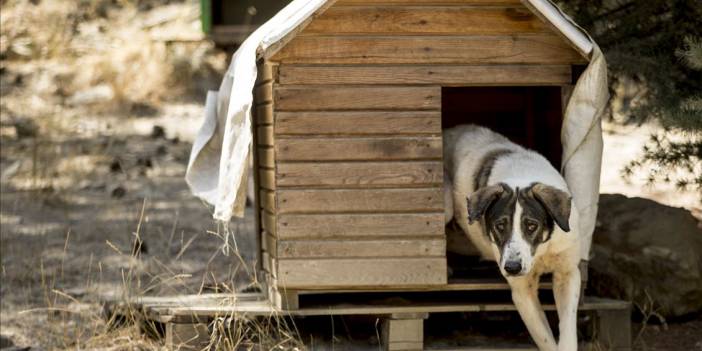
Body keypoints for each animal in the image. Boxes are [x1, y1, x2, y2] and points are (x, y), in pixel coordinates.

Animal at [446, 126, 584, 351]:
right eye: (500, 226)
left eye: (531, 225)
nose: (512, 268)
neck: (541, 251)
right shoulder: (522, 291)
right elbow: (545, 340)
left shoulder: (568, 274)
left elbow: (567, 334)